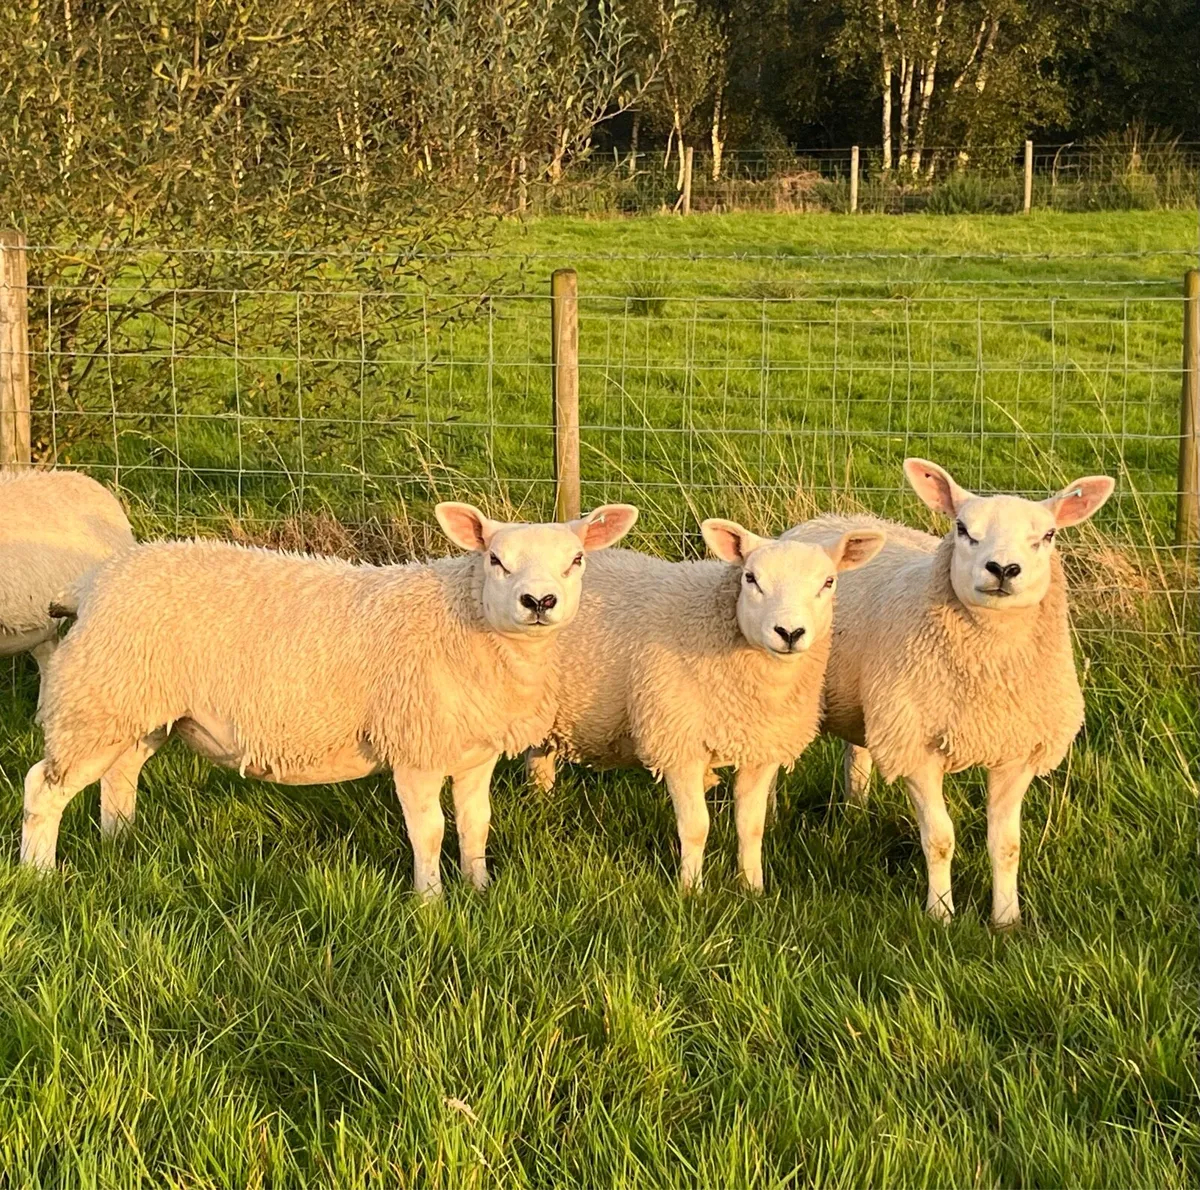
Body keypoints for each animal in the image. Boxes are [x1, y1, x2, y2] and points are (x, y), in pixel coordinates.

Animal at [21, 501, 638, 892]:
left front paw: (480, 888)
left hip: (133, 706)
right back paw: (38, 875)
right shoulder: (414, 745)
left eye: (576, 560)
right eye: (495, 560)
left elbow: (475, 824)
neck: (464, 617)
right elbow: (430, 831)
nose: (539, 601)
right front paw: (432, 903)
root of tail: (94, 582)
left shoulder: (473, 750)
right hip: (95, 698)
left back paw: (117, 846)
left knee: (118, 776)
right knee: (43, 788)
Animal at [527, 519, 885, 891]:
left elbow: (751, 827)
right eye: (750, 578)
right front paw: (691, 891)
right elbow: (696, 828)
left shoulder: (760, 751)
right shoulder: (678, 744)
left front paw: (752, 888)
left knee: (539, 759)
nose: (789, 632)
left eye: (828, 582)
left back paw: (541, 806)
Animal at [783, 459, 1115, 928]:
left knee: (857, 757)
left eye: (1048, 535)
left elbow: (1007, 844)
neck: (989, 668)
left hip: (869, 704)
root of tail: (831, 518)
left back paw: (854, 814)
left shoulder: (1016, 751)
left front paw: (1006, 919)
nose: (1002, 569)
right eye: (962, 528)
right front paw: (940, 913)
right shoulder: (916, 747)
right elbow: (939, 839)